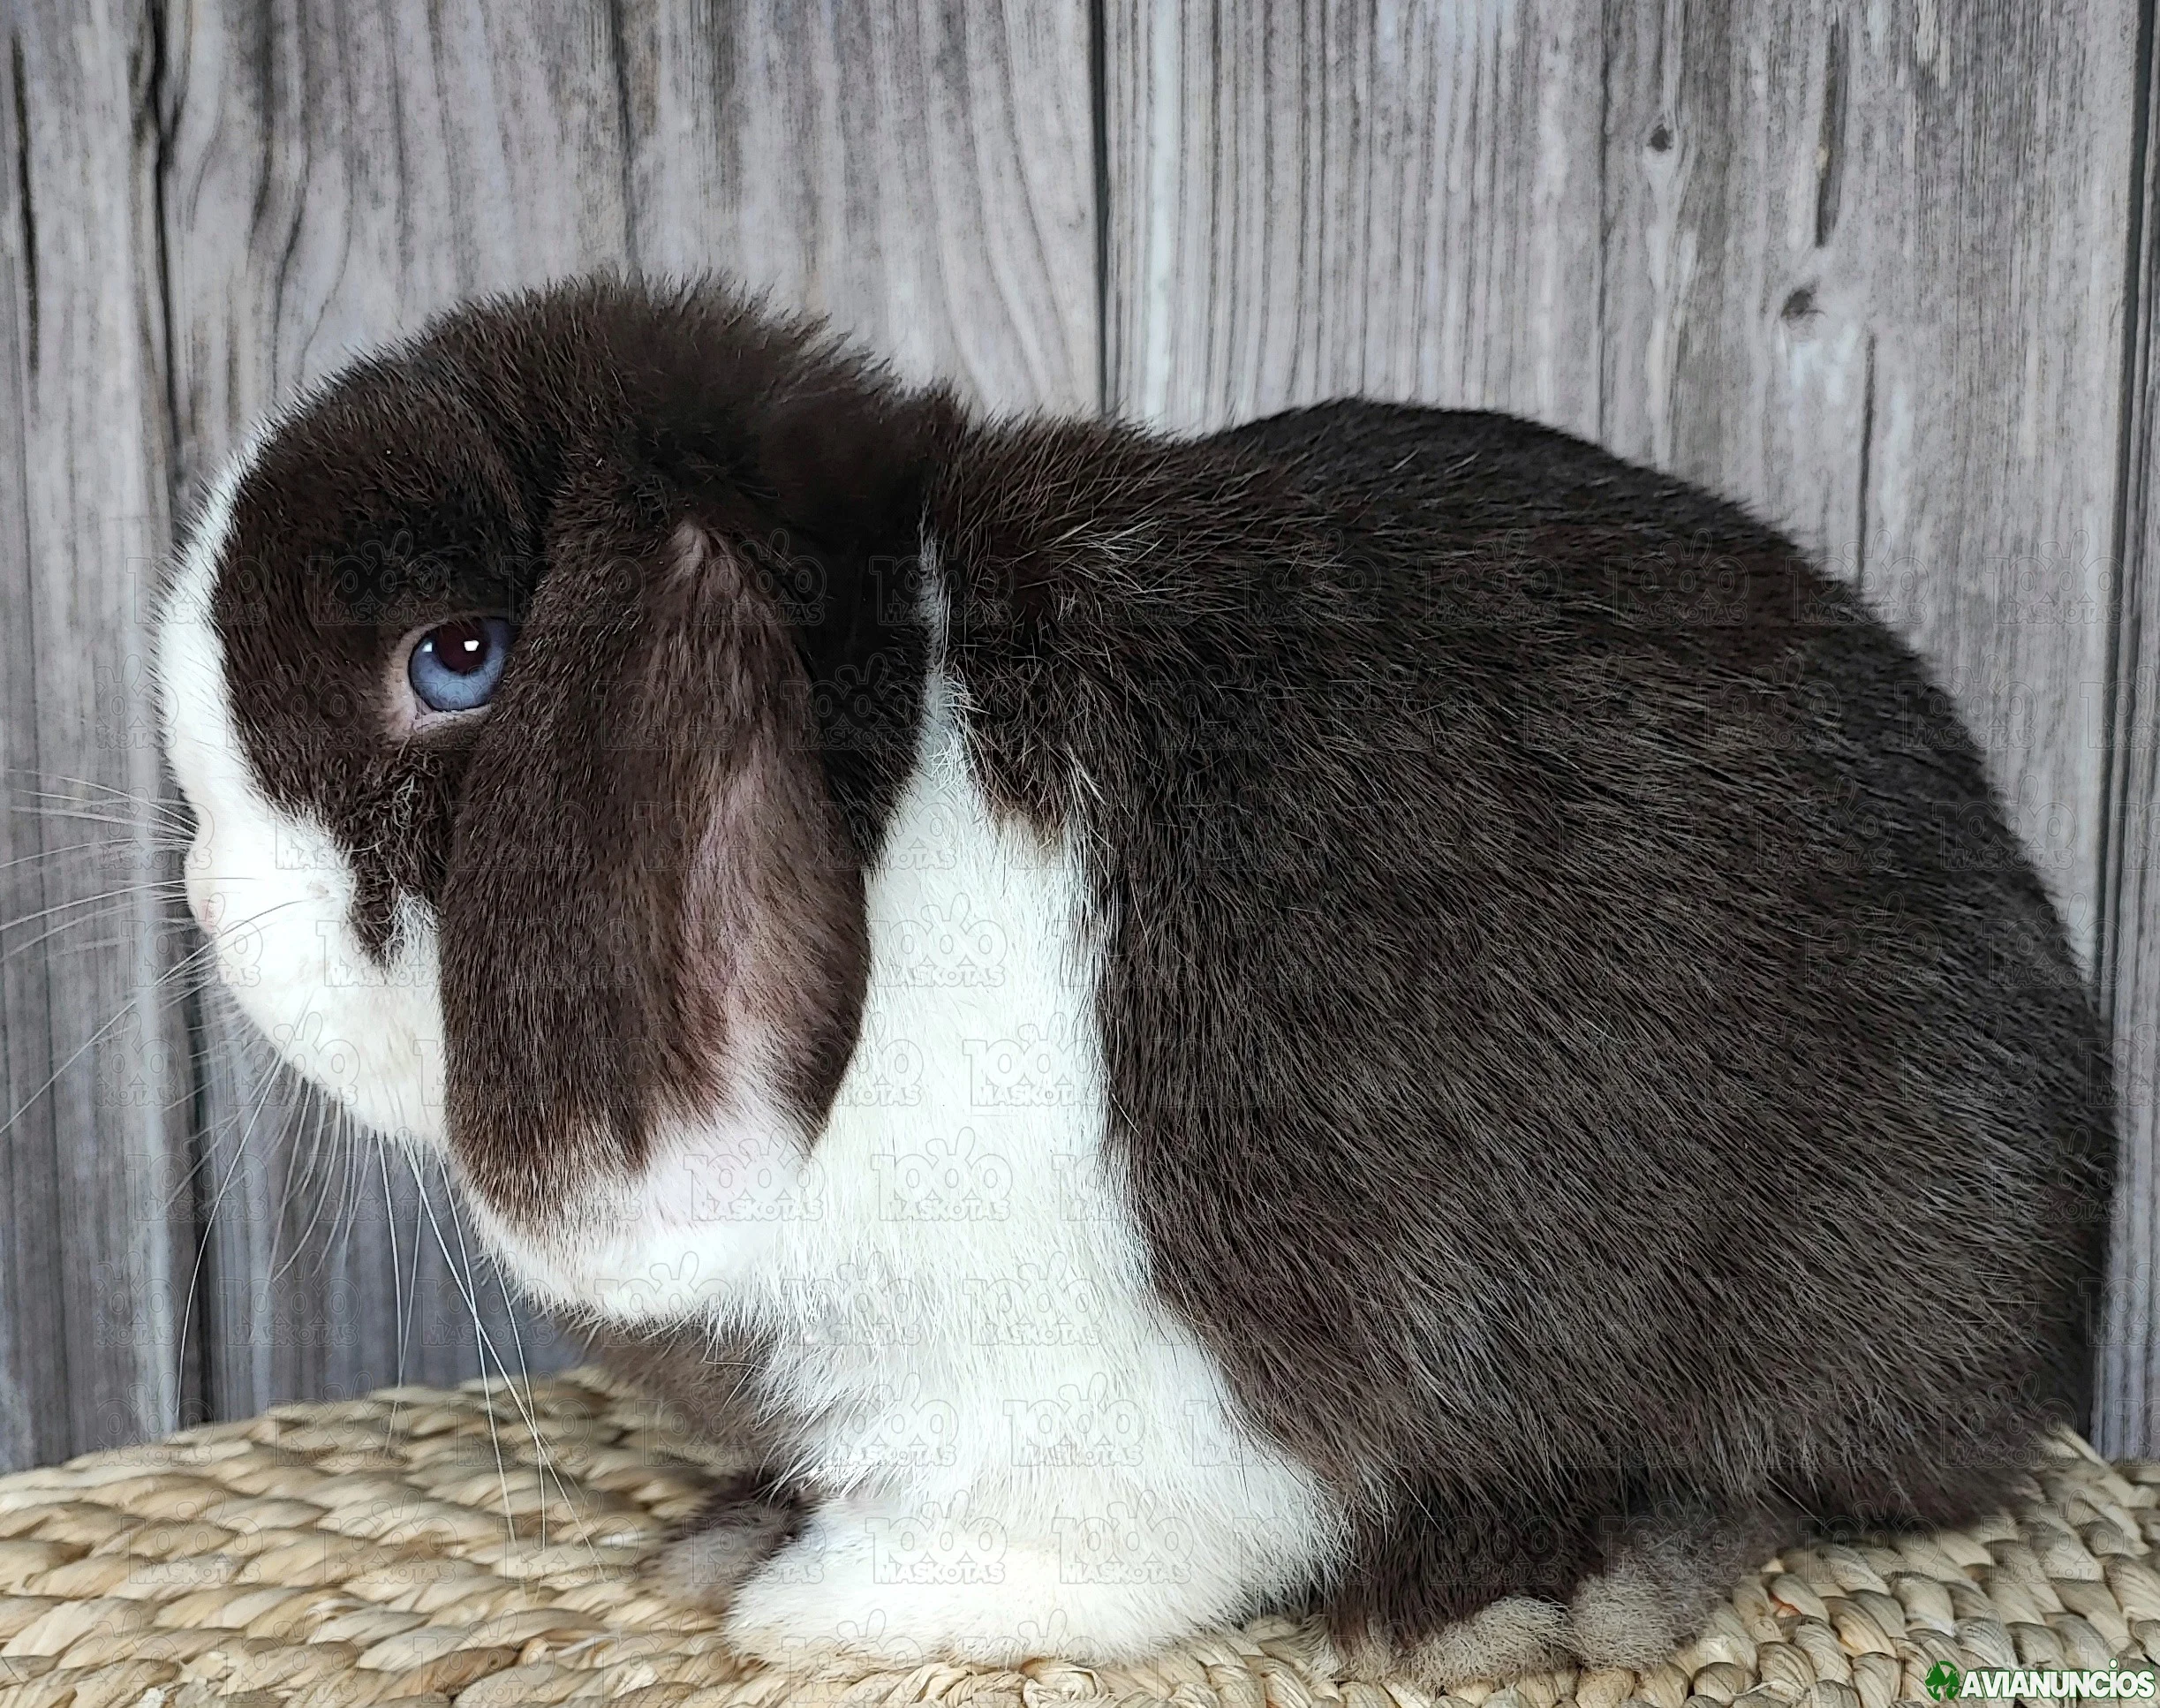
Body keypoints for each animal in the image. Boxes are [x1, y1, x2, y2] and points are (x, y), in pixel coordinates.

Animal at [157, 275, 2114, 1682]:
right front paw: (744, 1532)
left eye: (456, 656)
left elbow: (1082, 1530)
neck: (885, 796)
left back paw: (1552, 1589)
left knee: (1811, 1473)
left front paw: (839, 1602)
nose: (198, 881)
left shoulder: (1114, 1388)